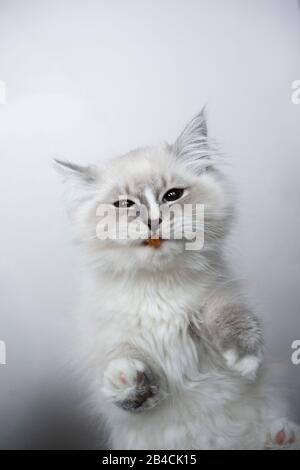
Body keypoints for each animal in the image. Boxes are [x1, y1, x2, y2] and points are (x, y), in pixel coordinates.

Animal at [55, 111, 298, 452]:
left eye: (172, 196)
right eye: (125, 205)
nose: (153, 221)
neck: (159, 286)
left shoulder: (215, 297)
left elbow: (230, 317)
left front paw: (244, 357)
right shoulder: (115, 338)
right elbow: (133, 377)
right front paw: (125, 379)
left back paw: (280, 435)